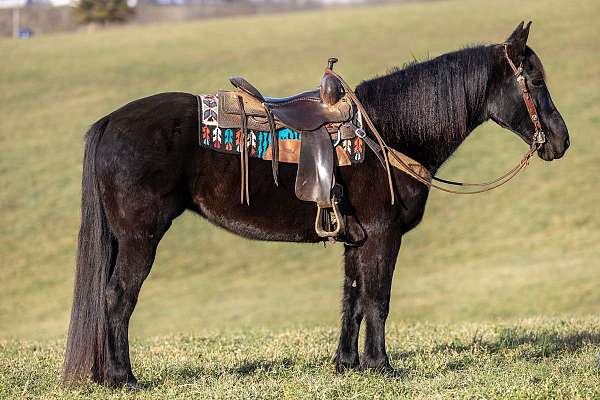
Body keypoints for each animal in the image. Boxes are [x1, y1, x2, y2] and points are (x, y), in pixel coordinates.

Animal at [64, 23, 568, 386]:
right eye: (535, 81)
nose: (561, 141)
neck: (386, 133)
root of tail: (111, 122)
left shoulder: (357, 240)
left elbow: (352, 299)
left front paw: (347, 364)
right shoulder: (382, 236)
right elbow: (377, 300)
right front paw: (382, 367)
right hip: (139, 238)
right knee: (118, 298)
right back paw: (124, 378)